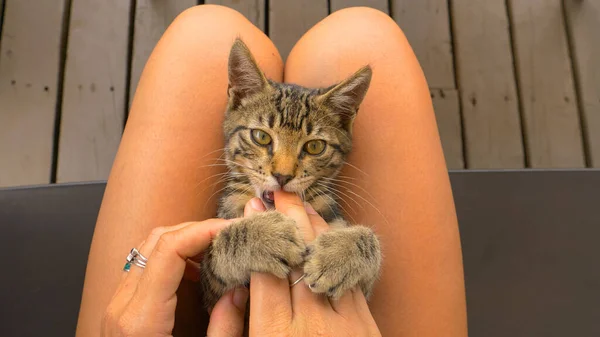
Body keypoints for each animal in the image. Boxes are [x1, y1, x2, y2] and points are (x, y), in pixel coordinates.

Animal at [199, 38, 382, 308]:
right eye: (261, 136)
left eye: (315, 146)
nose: (283, 176)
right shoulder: (211, 291)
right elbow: (219, 249)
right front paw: (264, 236)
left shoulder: (367, 295)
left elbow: (370, 242)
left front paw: (339, 255)